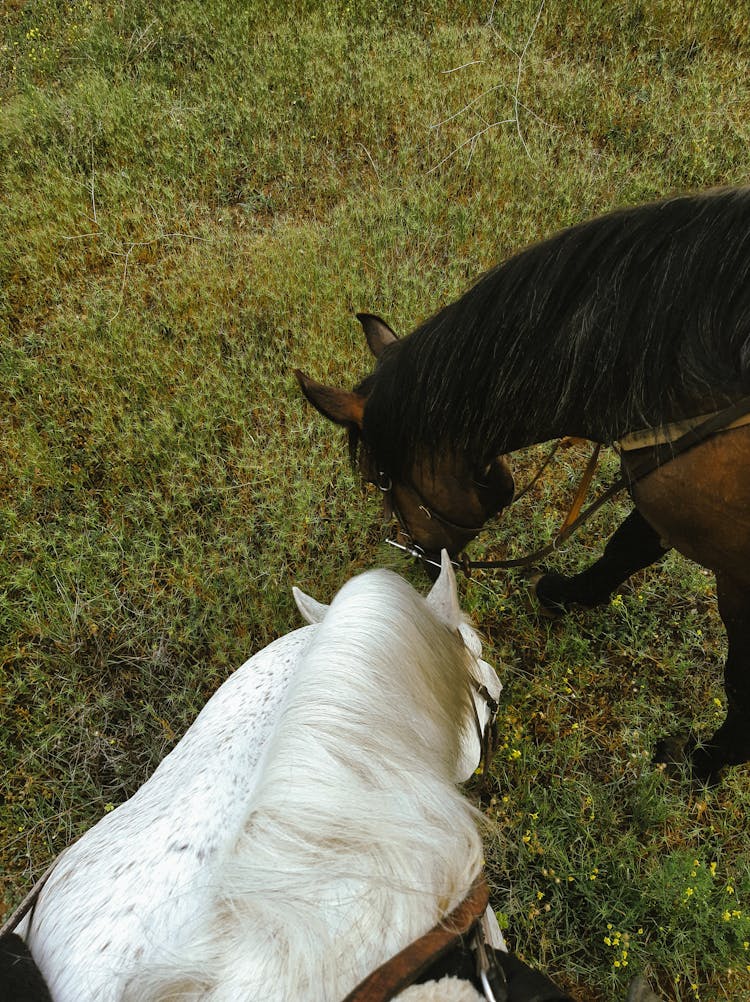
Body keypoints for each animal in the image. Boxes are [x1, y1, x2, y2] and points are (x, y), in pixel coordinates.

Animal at [296, 186, 748, 781]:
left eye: (381, 477)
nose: (418, 558)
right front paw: (565, 594)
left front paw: (702, 762)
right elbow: (624, 548)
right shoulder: (667, 494)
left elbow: (740, 683)